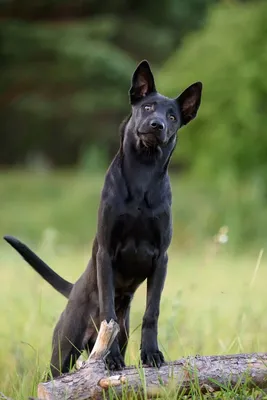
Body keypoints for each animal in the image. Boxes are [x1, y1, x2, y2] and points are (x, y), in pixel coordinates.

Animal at [4, 59, 203, 378]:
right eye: (148, 107)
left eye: (172, 116)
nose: (157, 125)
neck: (143, 174)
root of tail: (73, 289)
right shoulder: (106, 254)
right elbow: (107, 307)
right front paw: (110, 359)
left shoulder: (161, 258)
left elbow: (152, 311)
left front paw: (151, 353)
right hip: (63, 351)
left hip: (121, 332)